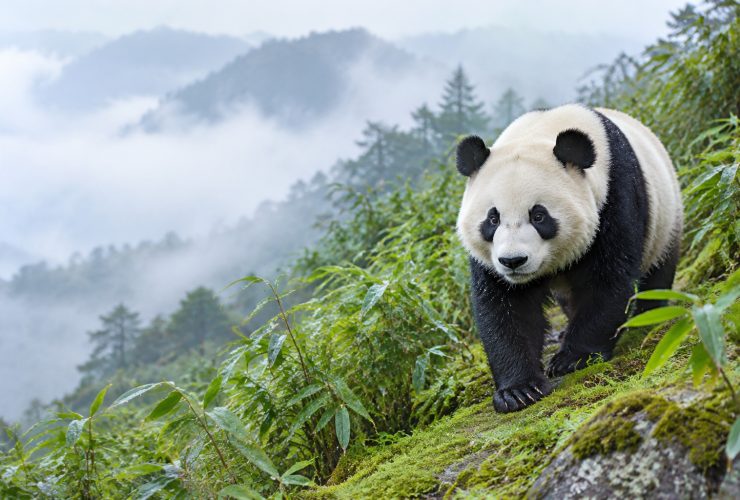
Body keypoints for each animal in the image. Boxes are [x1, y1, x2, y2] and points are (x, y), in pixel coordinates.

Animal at [455, 104, 683, 413]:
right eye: (492, 219)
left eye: (539, 216)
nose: (513, 261)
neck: (542, 129)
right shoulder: (491, 261)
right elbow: (505, 305)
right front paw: (518, 390)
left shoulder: (614, 196)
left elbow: (608, 280)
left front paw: (573, 359)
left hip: (665, 219)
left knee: (657, 273)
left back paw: (647, 314)